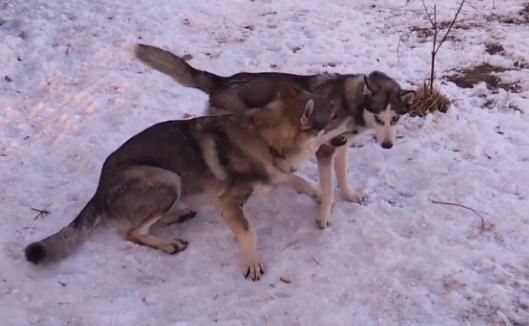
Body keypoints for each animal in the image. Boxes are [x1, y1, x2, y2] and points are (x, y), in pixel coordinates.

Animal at [22, 88, 338, 280]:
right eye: (335, 118)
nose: (346, 135)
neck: (268, 140)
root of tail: (99, 190)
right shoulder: (228, 204)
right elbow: (249, 234)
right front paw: (252, 263)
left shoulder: (277, 175)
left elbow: (298, 180)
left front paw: (318, 197)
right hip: (168, 180)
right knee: (132, 232)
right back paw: (169, 243)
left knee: (145, 224)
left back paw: (180, 216)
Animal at [129, 43, 416, 229]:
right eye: (379, 117)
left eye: (395, 119)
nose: (388, 146)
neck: (349, 102)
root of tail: (221, 81)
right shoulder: (325, 151)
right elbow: (327, 190)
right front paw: (323, 216)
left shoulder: (342, 146)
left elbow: (343, 177)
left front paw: (351, 195)